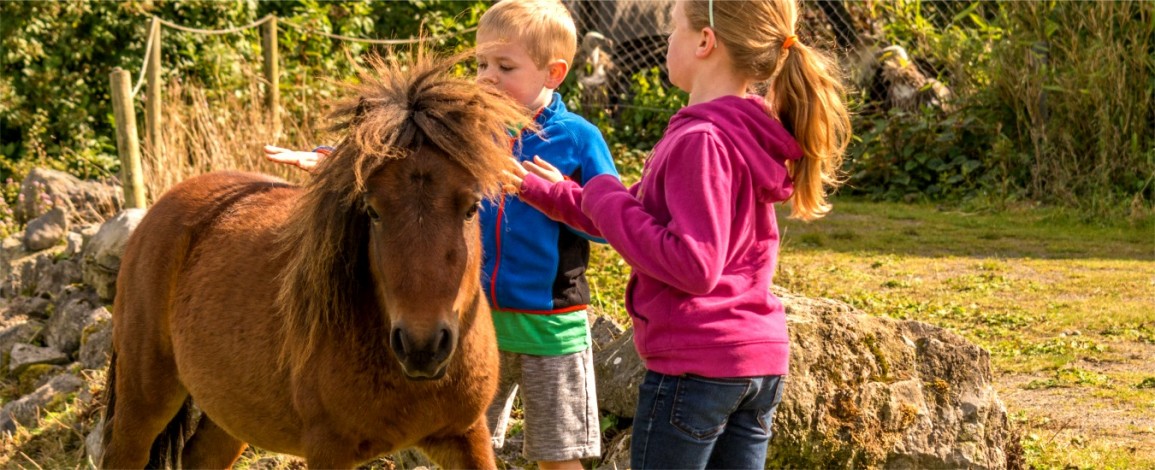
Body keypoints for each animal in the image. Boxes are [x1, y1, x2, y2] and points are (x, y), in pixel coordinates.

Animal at [98, 52, 530, 469]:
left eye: (471, 207)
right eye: (372, 211)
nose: (421, 346)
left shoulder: (465, 434)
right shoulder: (329, 449)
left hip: (232, 410)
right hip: (145, 397)